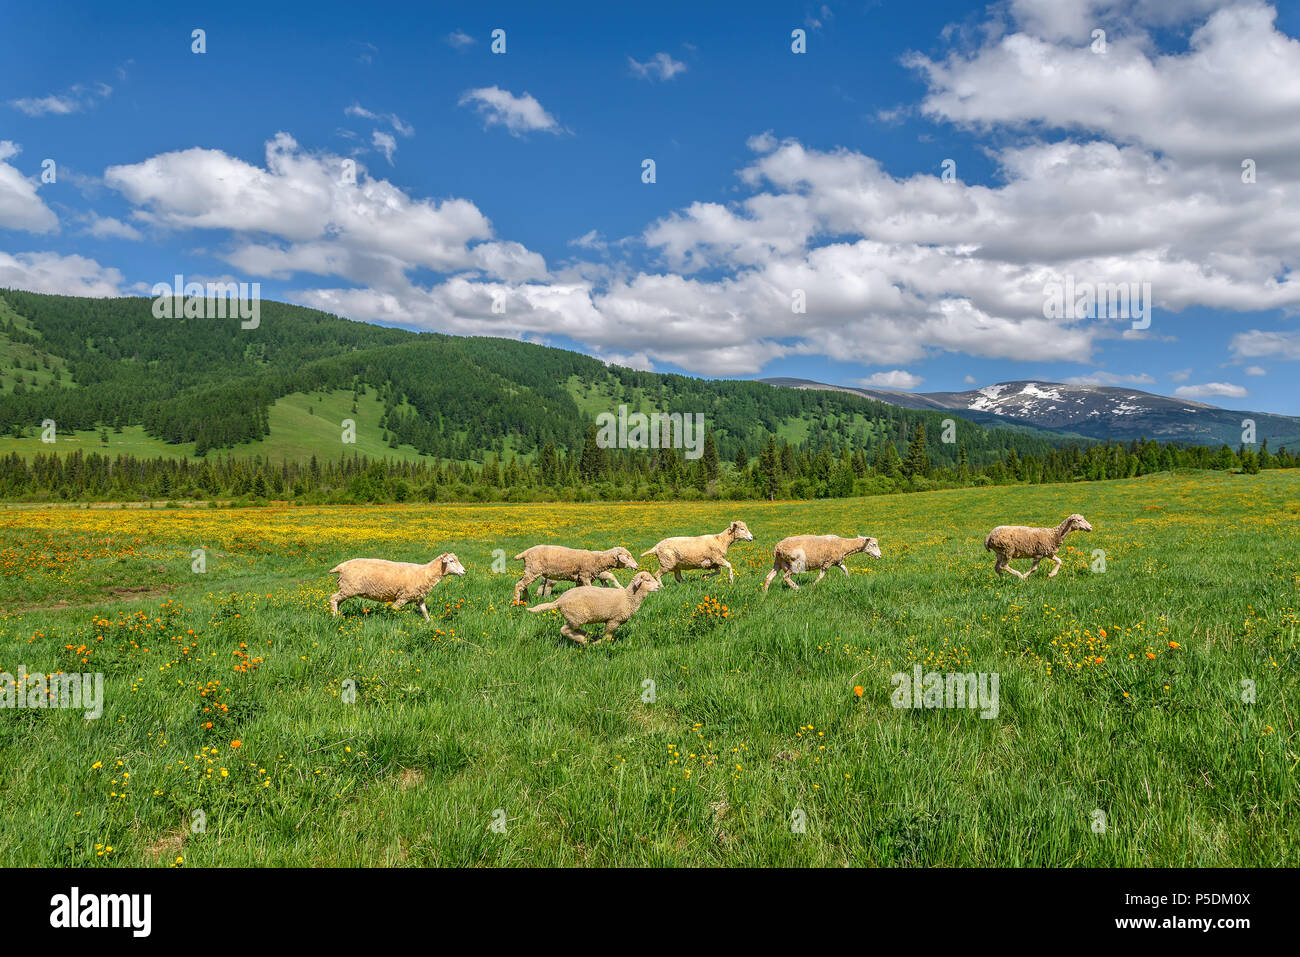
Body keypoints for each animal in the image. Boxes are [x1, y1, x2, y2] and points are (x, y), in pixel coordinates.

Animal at [327, 553, 465, 621]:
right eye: (451, 561)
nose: (464, 571)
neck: (425, 573)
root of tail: (341, 566)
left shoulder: (419, 598)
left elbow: (424, 611)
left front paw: (429, 623)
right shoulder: (402, 597)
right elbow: (393, 609)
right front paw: (391, 621)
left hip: (347, 588)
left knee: (337, 601)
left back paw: (338, 615)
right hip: (348, 588)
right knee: (333, 598)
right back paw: (334, 617)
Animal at [525, 566, 660, 642]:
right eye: (647, 580)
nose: (659, 586)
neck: (628, 597)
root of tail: (559, 600)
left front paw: (597, 640)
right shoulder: (613, 620)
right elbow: (607, 638)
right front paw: (598, 644)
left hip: (574, 618)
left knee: (572, 629)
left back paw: (588, 636)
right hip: (577, 616)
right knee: (565, 630)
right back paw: (584, 640)